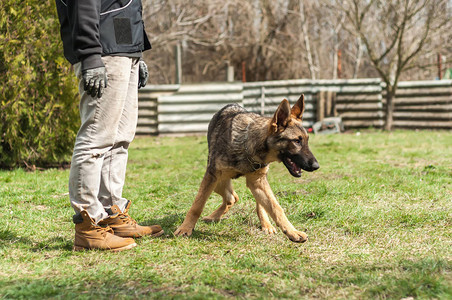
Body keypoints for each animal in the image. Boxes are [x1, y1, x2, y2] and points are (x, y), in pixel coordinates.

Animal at [173, 95, 318, 243]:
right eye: (297, 141)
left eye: (306, 140)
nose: (316, 166)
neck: (248, 145)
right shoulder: (211, 177)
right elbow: (197, 206)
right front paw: (185, 228)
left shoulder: (258, 182)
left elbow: (275, 207)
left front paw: (292, 232)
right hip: (217, 183)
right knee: (232, 197)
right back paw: (213, 216)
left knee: (245, 201)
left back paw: (265, 224)